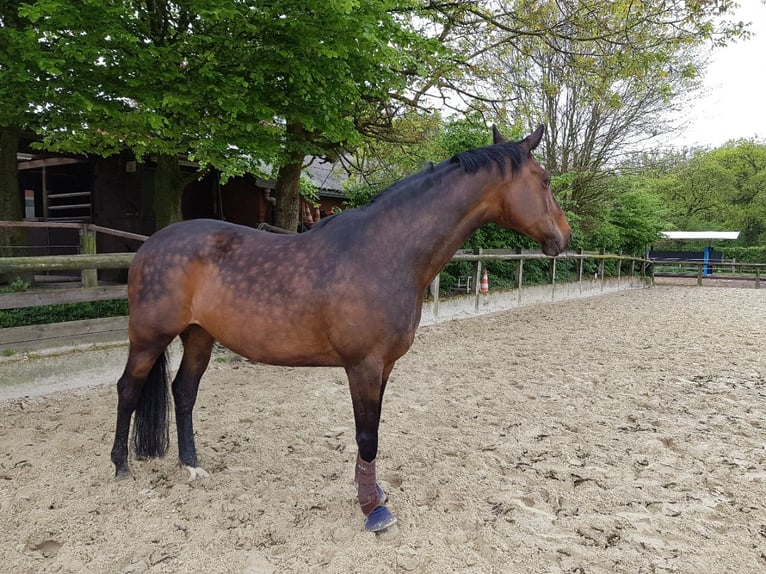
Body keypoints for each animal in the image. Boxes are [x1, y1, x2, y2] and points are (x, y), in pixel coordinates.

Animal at [111, 126, 572, 536]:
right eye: (545, 179)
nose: (564, 237)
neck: (386, 252)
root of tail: (150, 245)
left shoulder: (384, 366)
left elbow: (373, 432)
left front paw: (374, 492)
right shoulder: (363, 366)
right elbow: (367, 435)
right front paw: (373, 510)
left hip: (199, 336)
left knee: (184, 392)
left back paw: (191, 465)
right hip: (149, 338)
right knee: (128, 390)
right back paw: (120, 466)